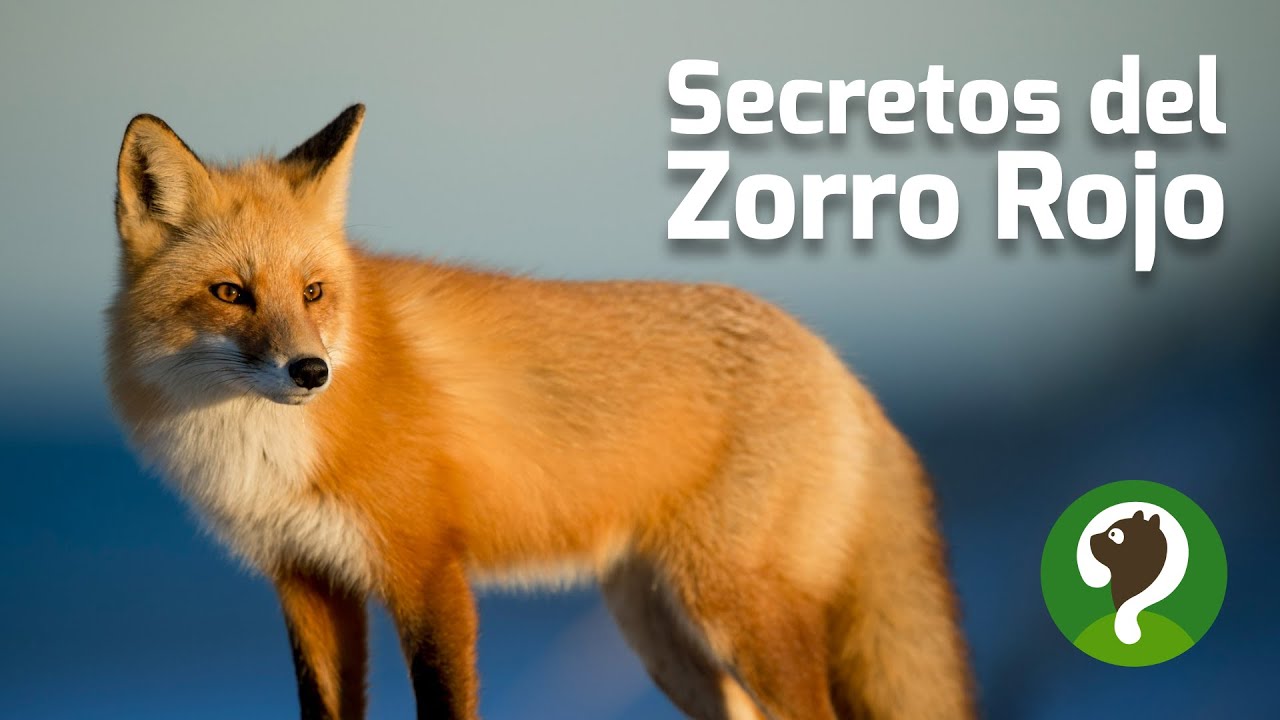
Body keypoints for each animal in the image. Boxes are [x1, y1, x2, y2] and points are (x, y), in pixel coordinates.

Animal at [106, 104, 974, 720]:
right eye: (230, 293)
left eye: (314, 292)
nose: (311, 371)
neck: (264, 449)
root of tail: (834, 360)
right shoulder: (307, 582)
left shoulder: (428, 571)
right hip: (663, 637)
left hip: (737, 612)